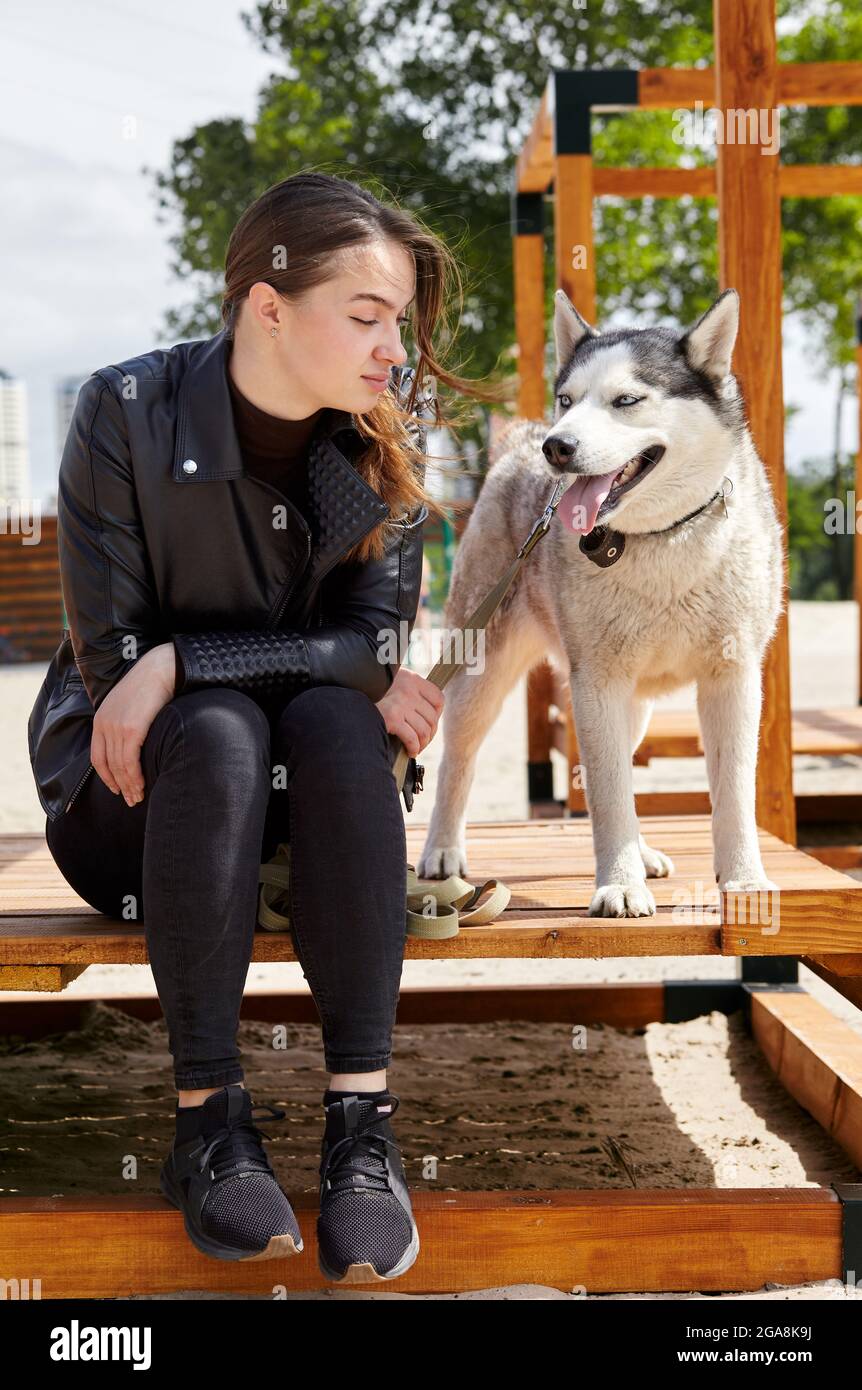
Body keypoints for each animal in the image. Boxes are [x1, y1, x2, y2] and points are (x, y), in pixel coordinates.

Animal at [417, 287, 789, 917]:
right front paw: (619, 884)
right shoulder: (597, 683)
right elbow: (612, 797)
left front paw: (742, 880)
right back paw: (442, 850)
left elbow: (733, 791)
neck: (661, 538)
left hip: (631, 708)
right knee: (457, 760)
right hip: (481, 673)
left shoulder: (733, 676)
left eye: (627, 400)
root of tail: (520, 439)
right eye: (567, 399)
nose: (557, 446)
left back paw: (644, 853)